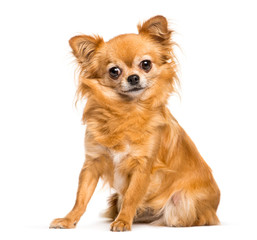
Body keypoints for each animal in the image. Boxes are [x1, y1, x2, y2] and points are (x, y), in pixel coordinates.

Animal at [50, 15, 220, 232]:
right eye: (114, 71)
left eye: (145, 64)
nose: (133, 77)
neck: (126, 112)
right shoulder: (92, 163)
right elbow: (81, 197)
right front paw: (69, 219)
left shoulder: (142, 167)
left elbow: (131, 196)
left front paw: (123, 221)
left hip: (183, 203)